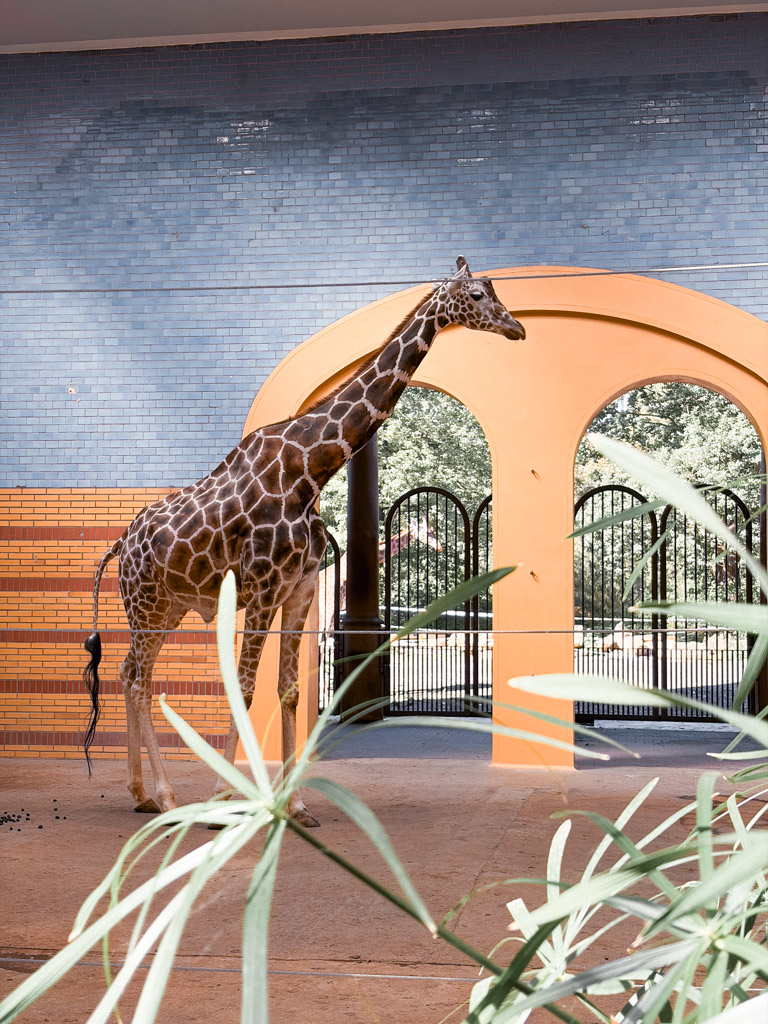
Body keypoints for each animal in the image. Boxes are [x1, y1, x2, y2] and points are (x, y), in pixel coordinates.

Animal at [83, 256, 525, 825]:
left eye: (493, 290)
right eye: (475, 295)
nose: (517, 328)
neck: (310, 471)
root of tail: (120, 544)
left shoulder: (299, 590)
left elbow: (289, 691)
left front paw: (295, 805)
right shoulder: (262, 588)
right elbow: (246, 687)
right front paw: (225, 798)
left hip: (168, 608)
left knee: (126, 671)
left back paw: (140, 792)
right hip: (146, 603)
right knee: (138, 680)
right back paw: (168, 797)